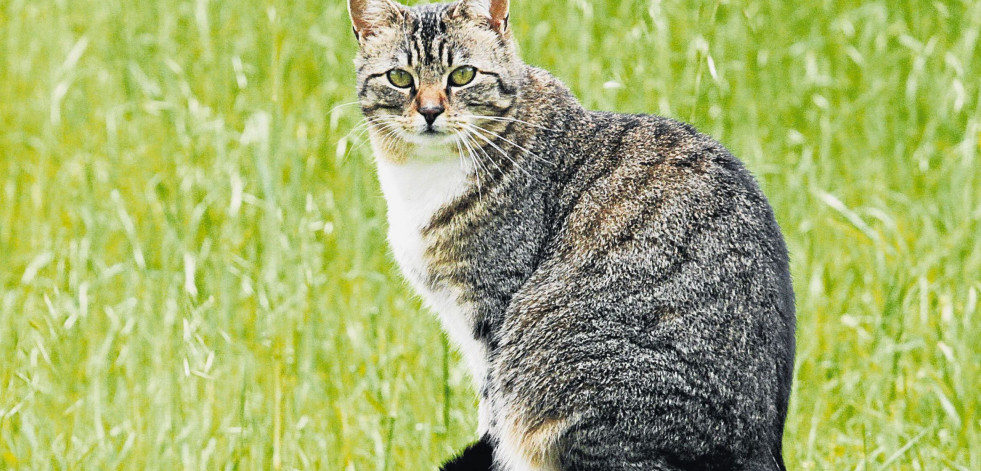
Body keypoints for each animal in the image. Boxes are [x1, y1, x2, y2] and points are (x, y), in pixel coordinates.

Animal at [344, 1, 796, 470]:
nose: (430, 111)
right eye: (400, 78)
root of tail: (762, 450)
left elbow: (491, 413)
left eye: (463, 75)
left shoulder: (494, 314)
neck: (423, 177)